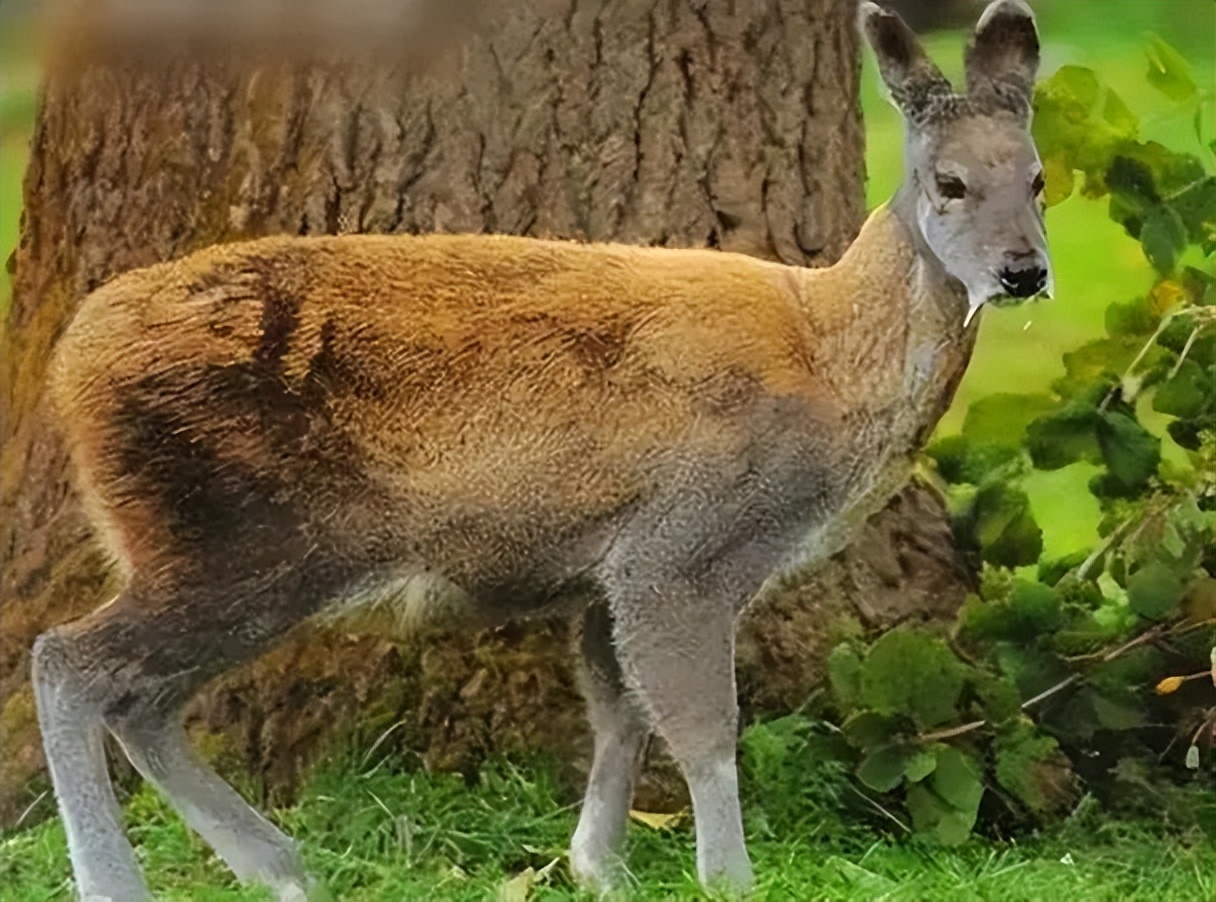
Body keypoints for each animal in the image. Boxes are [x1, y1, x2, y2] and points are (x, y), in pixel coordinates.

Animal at [33, 3, 1050, 899]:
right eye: (948, 182)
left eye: (1038, 178)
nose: (1026, 270)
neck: (827, 363)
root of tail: (69, 362)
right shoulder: (679, 542)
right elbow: (700, 726)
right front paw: (728, 878)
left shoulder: (604, 567)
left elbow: (619, 712)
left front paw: (600, 867)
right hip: (232, 537)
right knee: (72, 664)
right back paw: (120, 883)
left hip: (231, 552)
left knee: (144, 701)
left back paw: (281, 868)